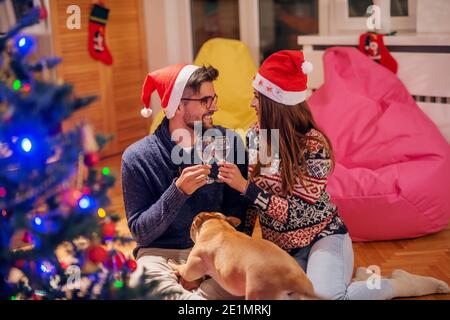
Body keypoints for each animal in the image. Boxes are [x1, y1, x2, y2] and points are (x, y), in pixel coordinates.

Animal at [169, 212, 316, 300]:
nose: (189, 228)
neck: (219, 227)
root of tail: (294, 282)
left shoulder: (191, 269)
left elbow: (182, 268)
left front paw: (173, 263)